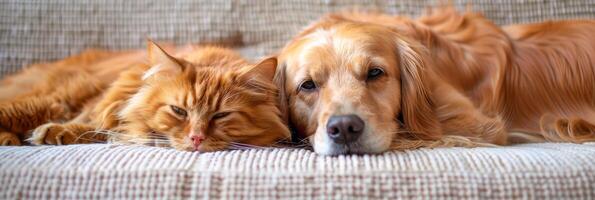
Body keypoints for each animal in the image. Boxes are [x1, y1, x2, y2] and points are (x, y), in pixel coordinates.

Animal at [0, 41, 292, 152]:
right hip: (56, 97)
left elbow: (106, 129)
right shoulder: (108, 99)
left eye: (221, 115)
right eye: (179, 111)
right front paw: (58, 131)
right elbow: (95, 121)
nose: (196, 138)